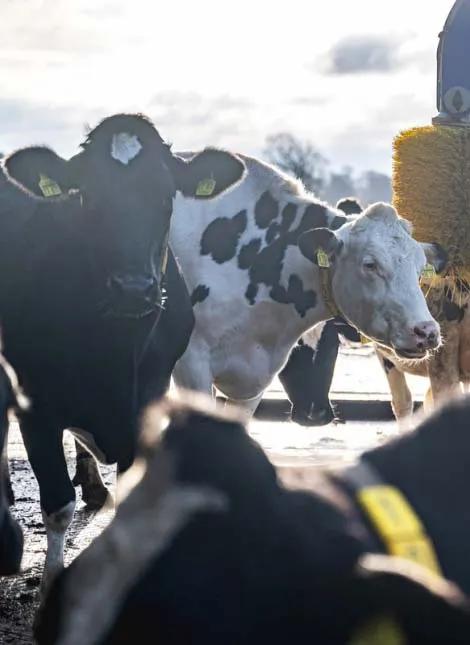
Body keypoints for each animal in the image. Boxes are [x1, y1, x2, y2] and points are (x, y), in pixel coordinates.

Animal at [0, 114, 246, 601]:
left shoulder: (147, 402)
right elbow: (57, 504)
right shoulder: (35, 406)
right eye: (89, 196)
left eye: (166, 196)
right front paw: (51, 585)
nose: (133, 288)